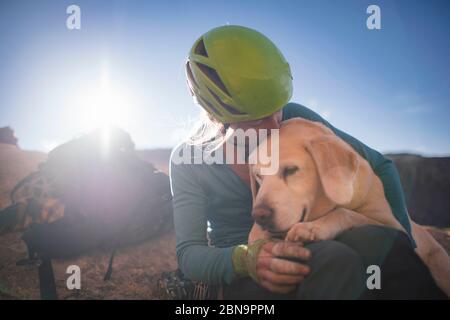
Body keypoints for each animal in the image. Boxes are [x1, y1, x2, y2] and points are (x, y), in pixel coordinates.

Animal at [250, 118, 450, 298]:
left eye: (291, 170)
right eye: (259, 176)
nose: (259, 216)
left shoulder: (394, 225)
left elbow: (345, 213)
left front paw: (313, 228)